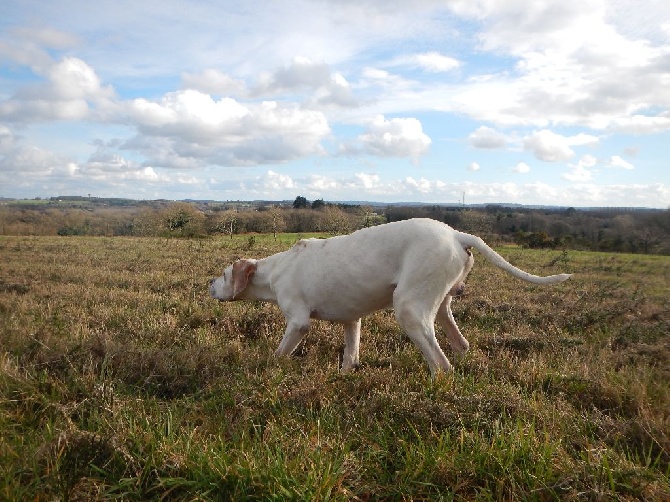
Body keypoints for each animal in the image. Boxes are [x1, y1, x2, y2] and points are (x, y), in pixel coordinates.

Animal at [211, 218, 572, 374]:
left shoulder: (298, 322)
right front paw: (345, 376)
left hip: (410, 309)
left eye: (226, 275)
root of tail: (457, 234)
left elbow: (279, 353)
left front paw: (266, 370)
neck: (276, 269)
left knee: (441, 364)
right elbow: (351, 354)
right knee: (459, 343)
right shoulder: (352, 320)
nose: (208, 284)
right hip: (440, 303)